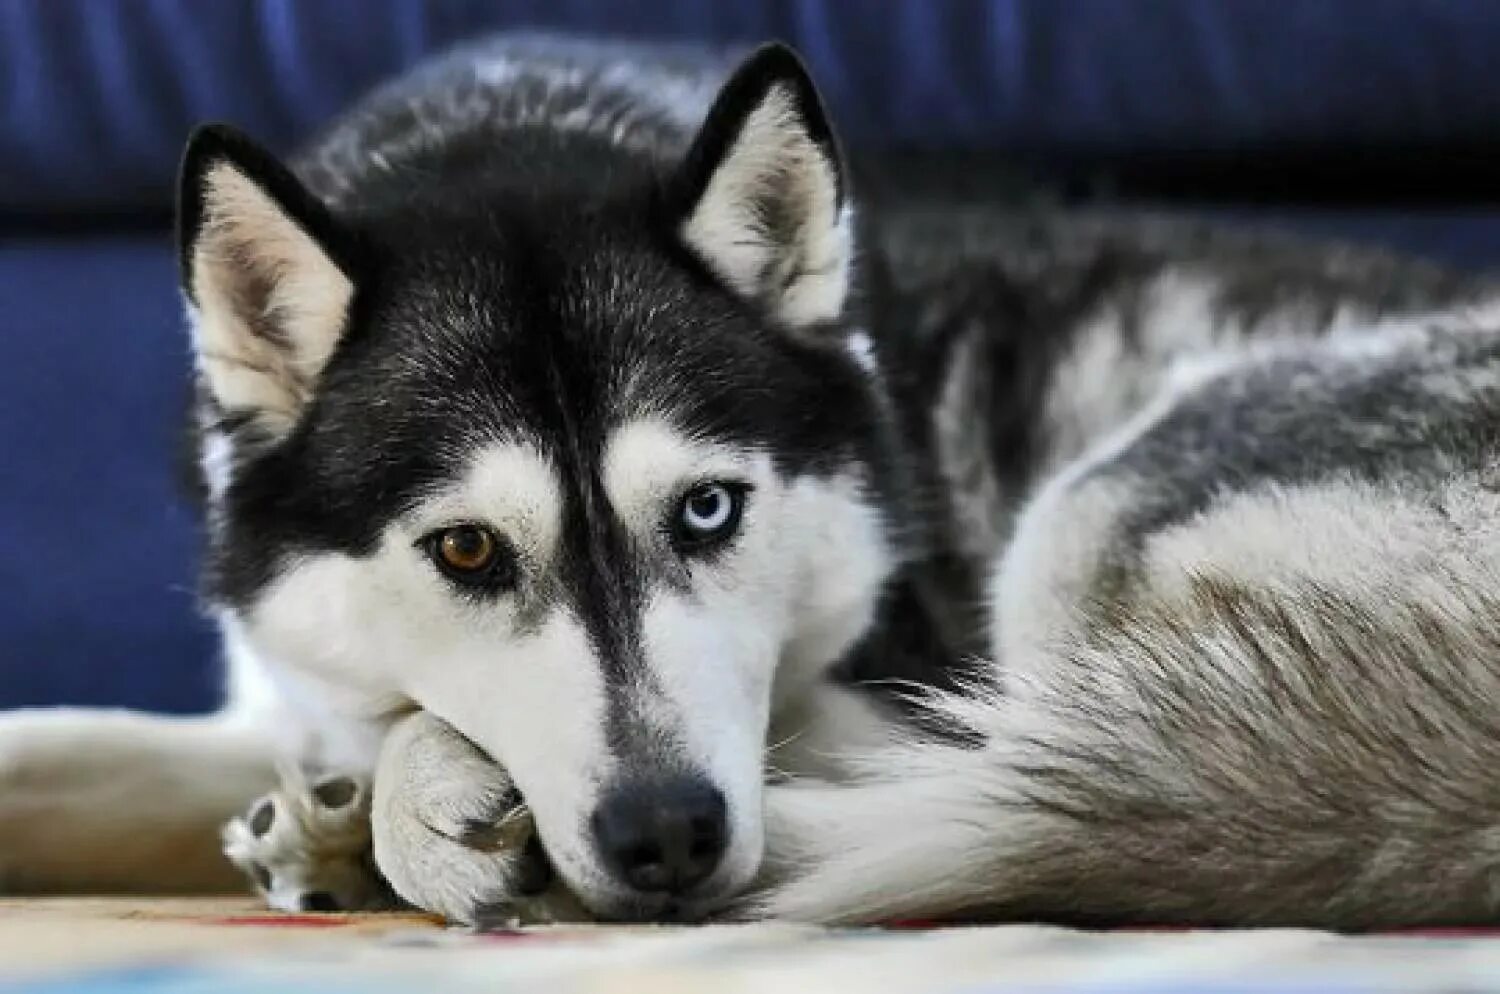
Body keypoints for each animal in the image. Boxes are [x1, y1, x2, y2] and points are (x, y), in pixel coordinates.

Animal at [8, 35, 1500, 929]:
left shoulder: (887, 695)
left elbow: (404, 733)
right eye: (468, 550)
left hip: (1085, 520)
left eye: (709, 507)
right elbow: (85, 749)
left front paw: (402, 812)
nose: (667, 835)